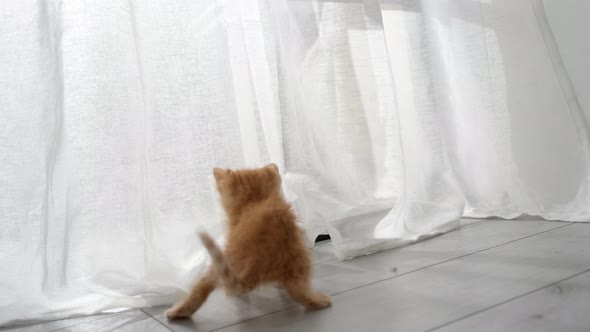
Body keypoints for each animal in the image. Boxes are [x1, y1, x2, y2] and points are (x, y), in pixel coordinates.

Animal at [166, 163, 330, 320]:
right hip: (301, 260)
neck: (256, 200)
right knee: (302, 293)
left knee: (202, 288)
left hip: (218, 263)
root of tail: (258, 262)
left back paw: (177, 312)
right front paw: (279, 286)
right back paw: (320, 300)